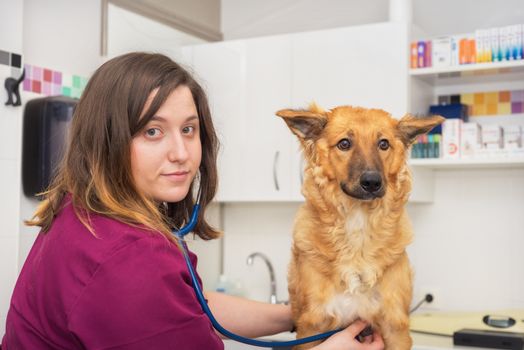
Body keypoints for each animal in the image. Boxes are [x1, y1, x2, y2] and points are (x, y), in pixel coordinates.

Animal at [276, 105, 444, 348]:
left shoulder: (395, 326)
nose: (372, 182)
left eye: (383, 144)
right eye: (344, 143)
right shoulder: (312, 325)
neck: (359, 225)